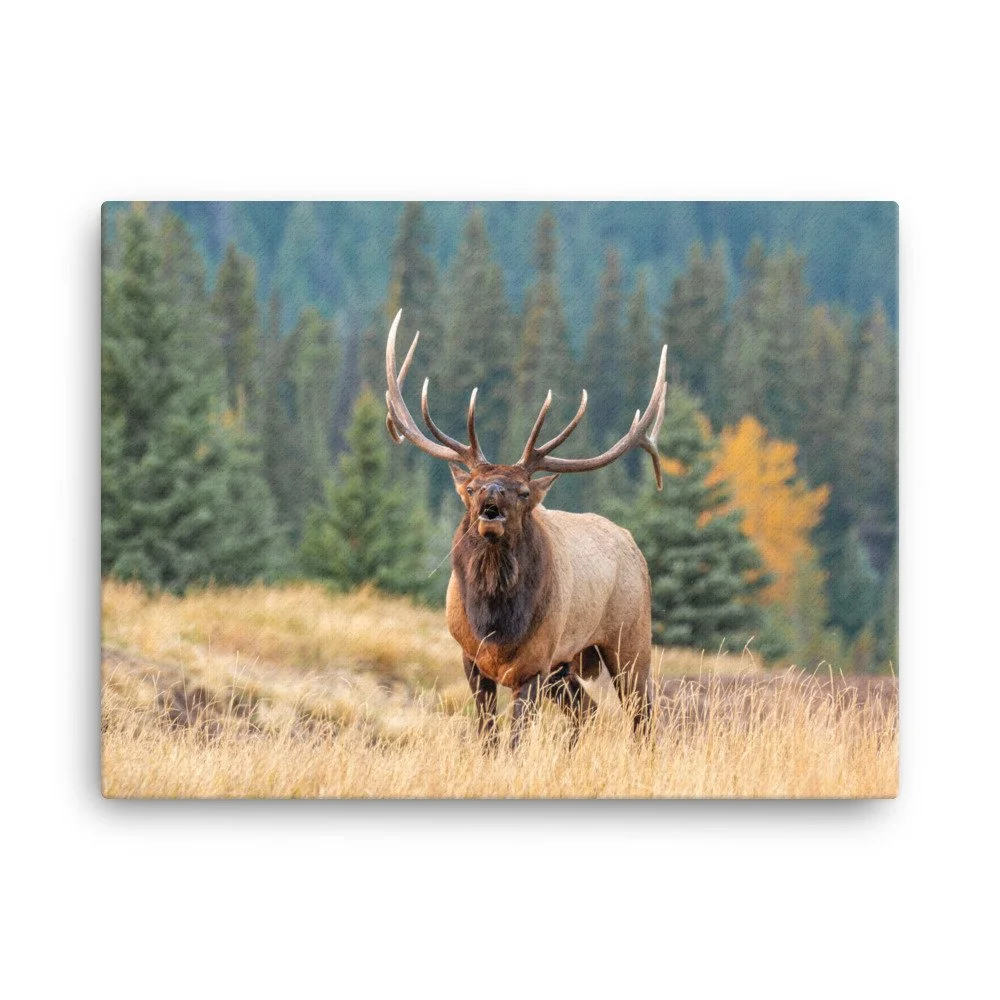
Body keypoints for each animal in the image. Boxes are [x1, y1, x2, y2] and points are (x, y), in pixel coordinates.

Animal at [385, 310, 667, 749]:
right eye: (471, 487)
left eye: (521, 491)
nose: (492, 500)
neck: (496, 625)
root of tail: (634, 546)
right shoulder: (471, 660)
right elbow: (487, 734)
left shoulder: (534, 664)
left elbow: (515, 740)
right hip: (566, 666)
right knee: (587, 710)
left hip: (630, 640)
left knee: (642, 716)